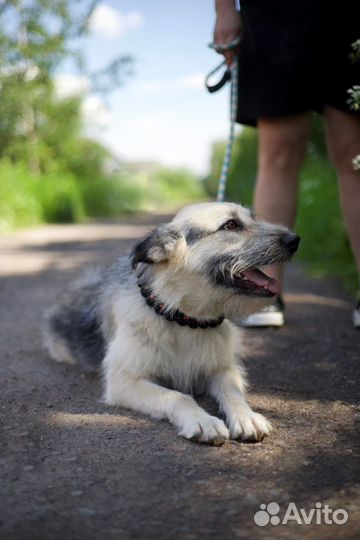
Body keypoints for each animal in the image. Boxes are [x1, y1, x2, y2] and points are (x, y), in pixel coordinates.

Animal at [45, 200, 300, 446]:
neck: (184, 318)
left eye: (252, 218)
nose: (295, 240)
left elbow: (233, 393)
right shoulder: (123, 380)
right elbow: (177, 396)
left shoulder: (223, 369)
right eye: (231, 225)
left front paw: (246, 416)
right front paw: (202, 420)